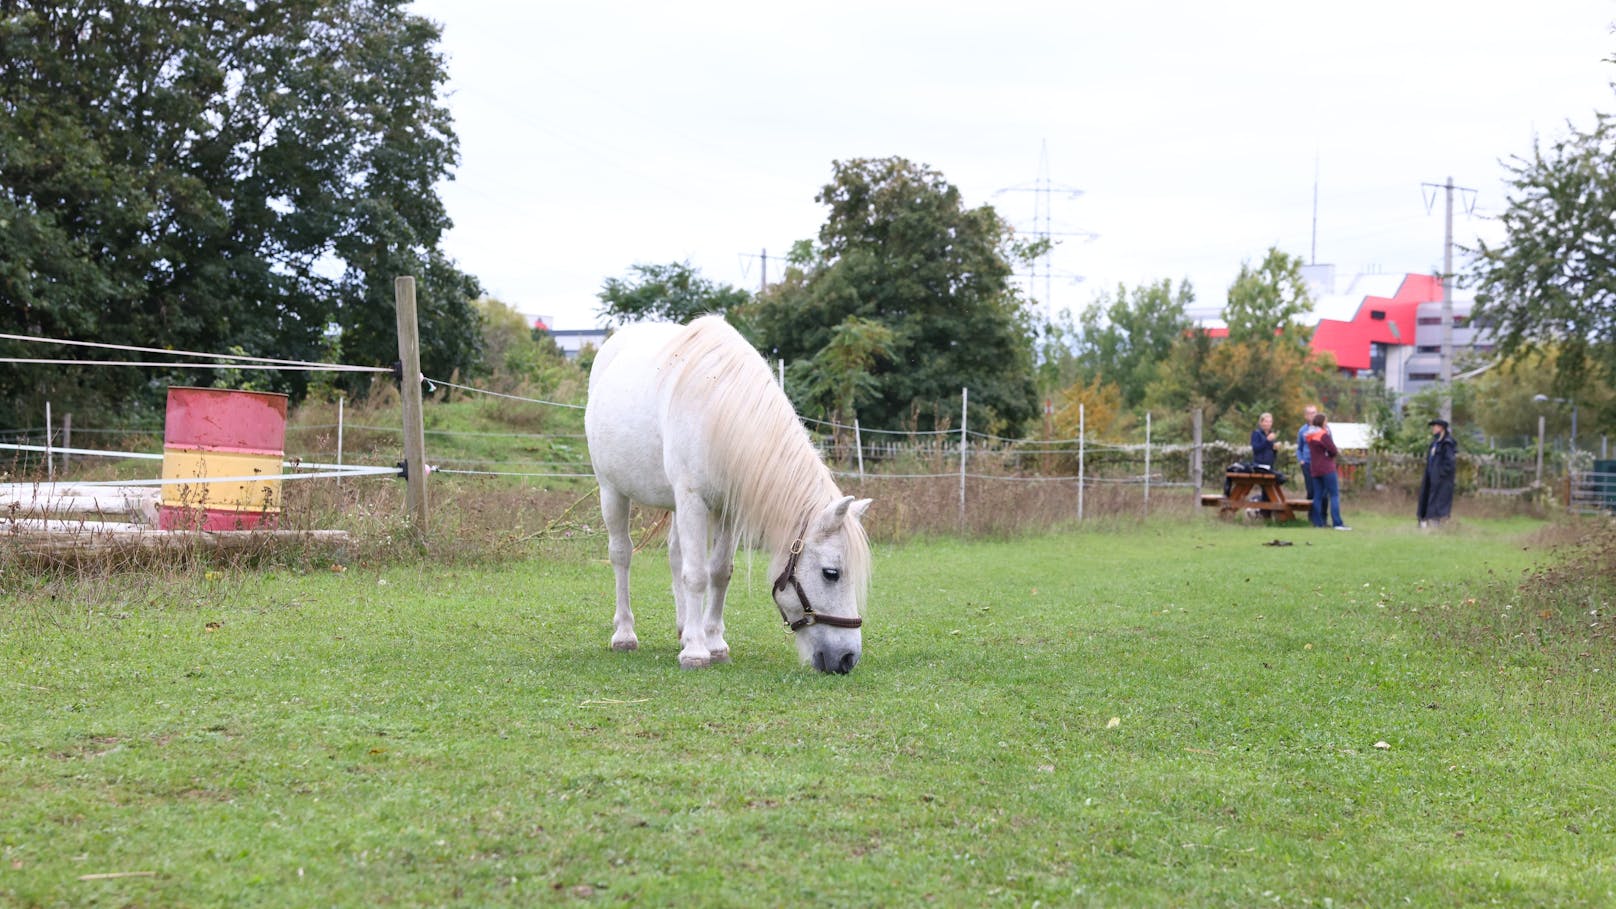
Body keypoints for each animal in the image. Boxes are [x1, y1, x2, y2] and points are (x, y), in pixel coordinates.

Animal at [588, 315, 879, 669]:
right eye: (831, 573)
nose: (847, 658)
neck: (719, 408)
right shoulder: (692, 500)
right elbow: (697, 575)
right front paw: (696, 652)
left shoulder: (725, 508)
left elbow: (718, 572)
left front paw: (713, 643)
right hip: (612, 491)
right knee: (621, 555)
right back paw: (625, 634)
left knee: (674, 556)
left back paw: (684, 629)